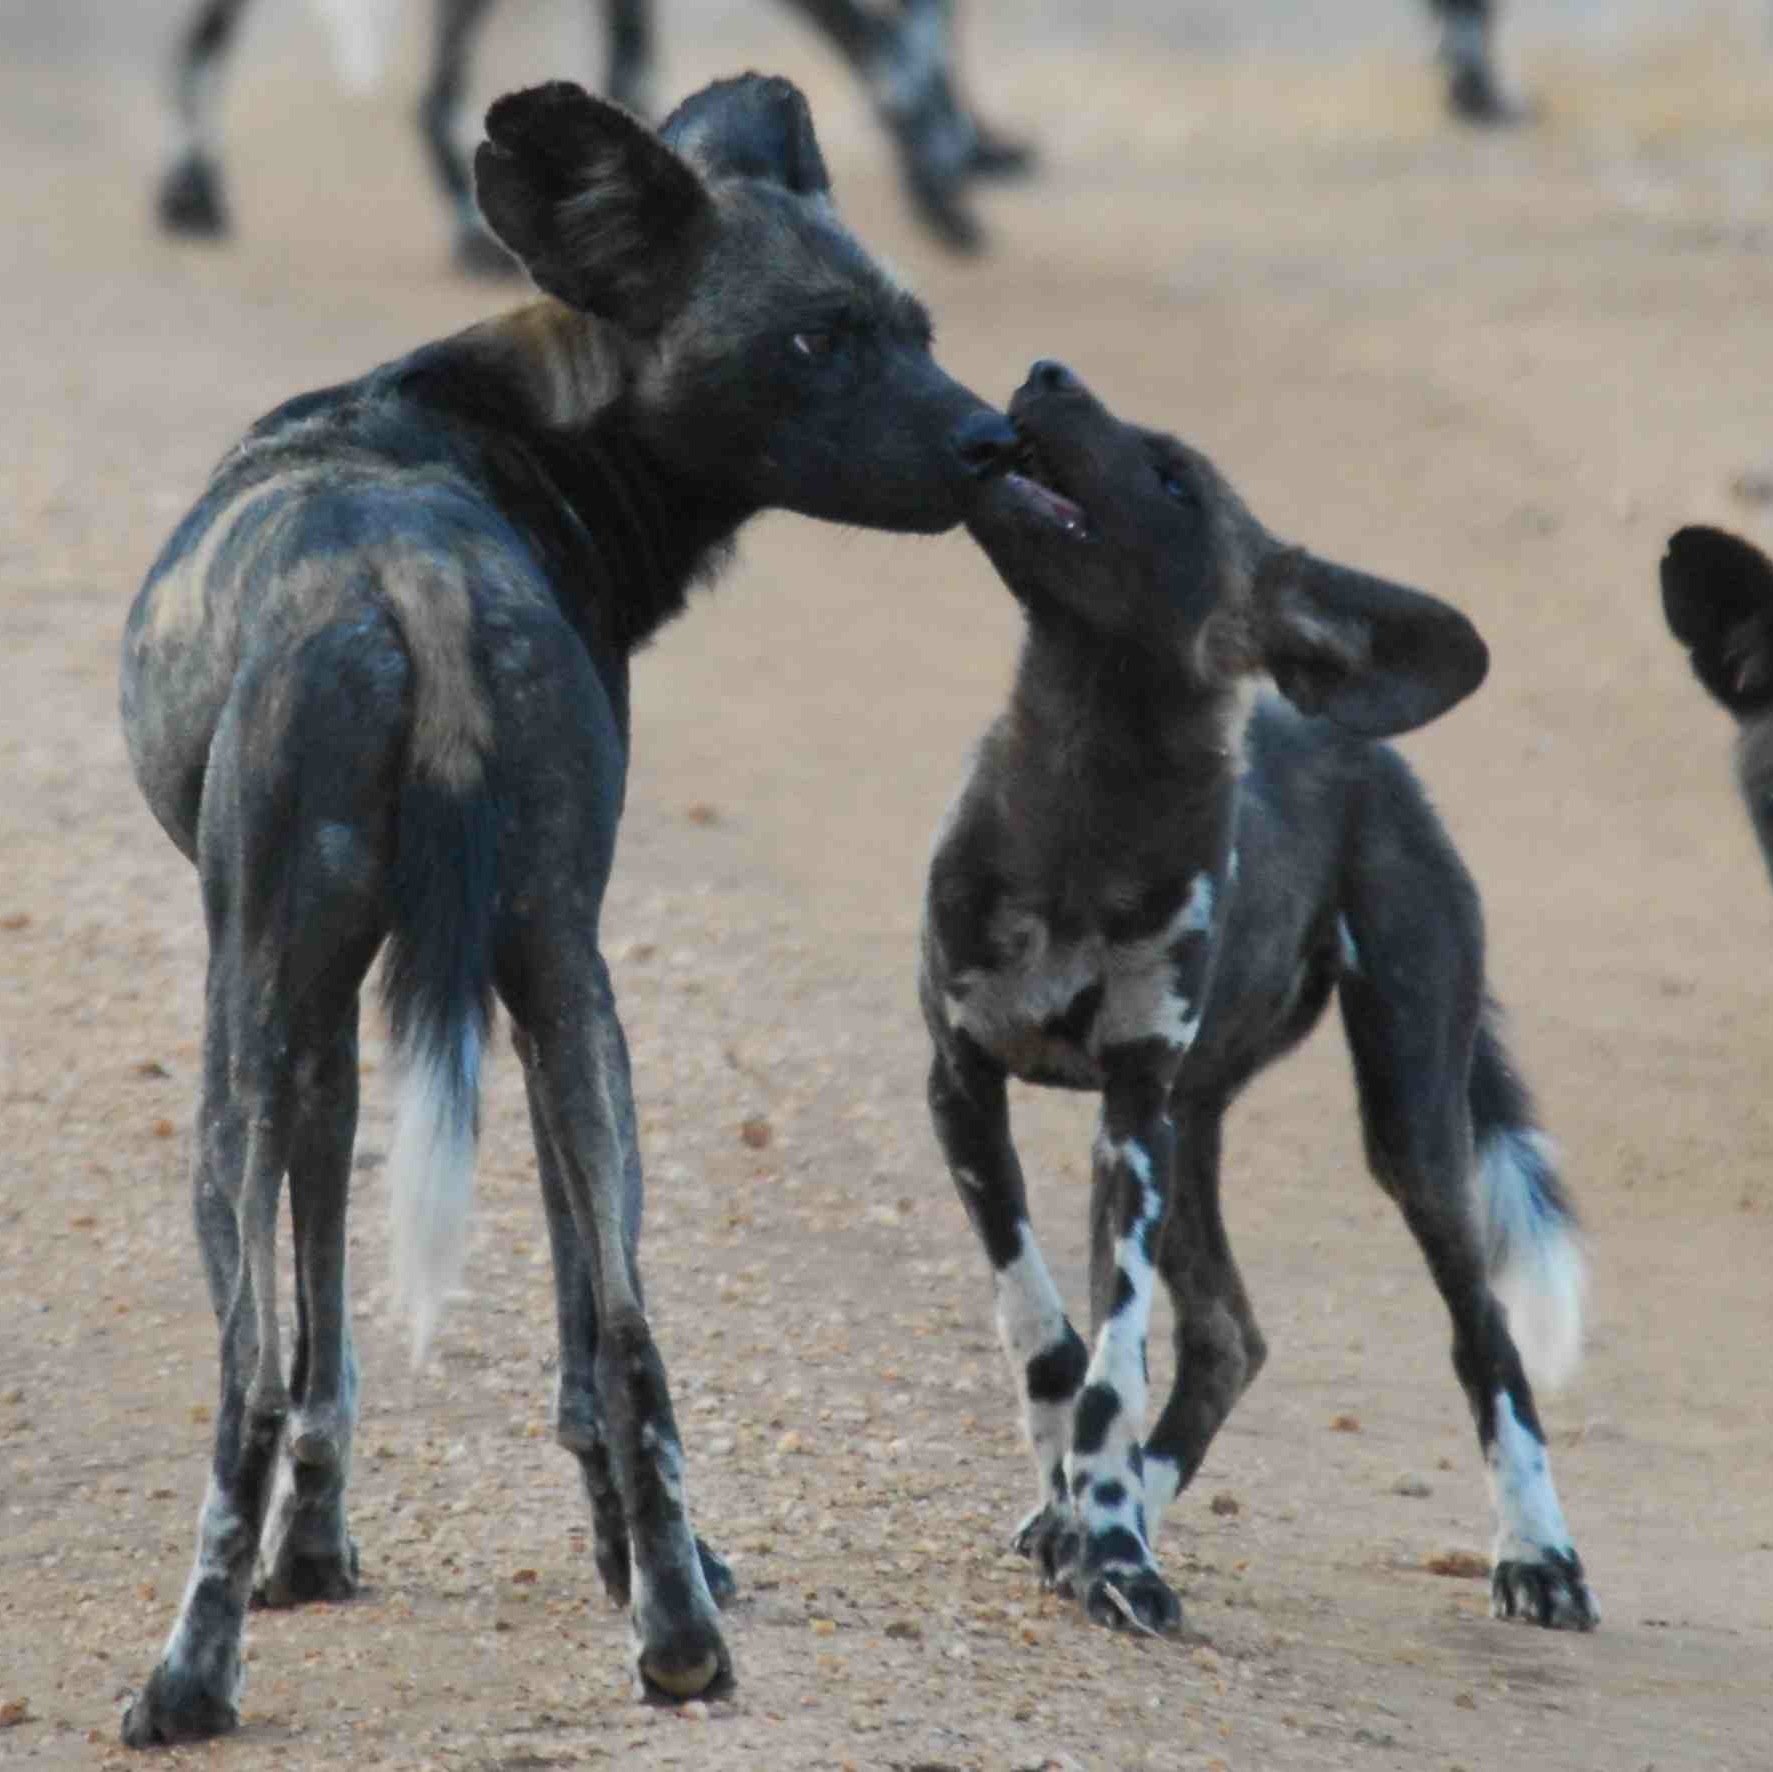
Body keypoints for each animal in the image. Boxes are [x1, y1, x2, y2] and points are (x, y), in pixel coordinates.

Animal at [121, 72, 1014, 1745]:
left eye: (914, 328)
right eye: (823, 341)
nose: (996, 440)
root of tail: (411, 580)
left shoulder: (309, 1018)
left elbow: (317, 1347)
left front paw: (304, 1564)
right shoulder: (427, 1003)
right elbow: (522, 1352)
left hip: (243, 1054)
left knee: (246, 1373)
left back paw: (188, 1681)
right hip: (560, 996)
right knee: (627, 1335)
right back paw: (679, 1634)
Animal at [929, 367, 1595, 1638]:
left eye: (1174, 478)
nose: (1044, 373)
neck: (1081, 801)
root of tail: (1370, 749)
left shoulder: (1130, 1117)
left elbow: (1112, 1364)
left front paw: (1111, 1544)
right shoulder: (966, 1082)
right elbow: (1046, 1329)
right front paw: (1087, 1516)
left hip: (1406, 1131)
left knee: (1483, 1338)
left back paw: (1538, 1551)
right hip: (1198, 1126)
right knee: (1230, 1335)